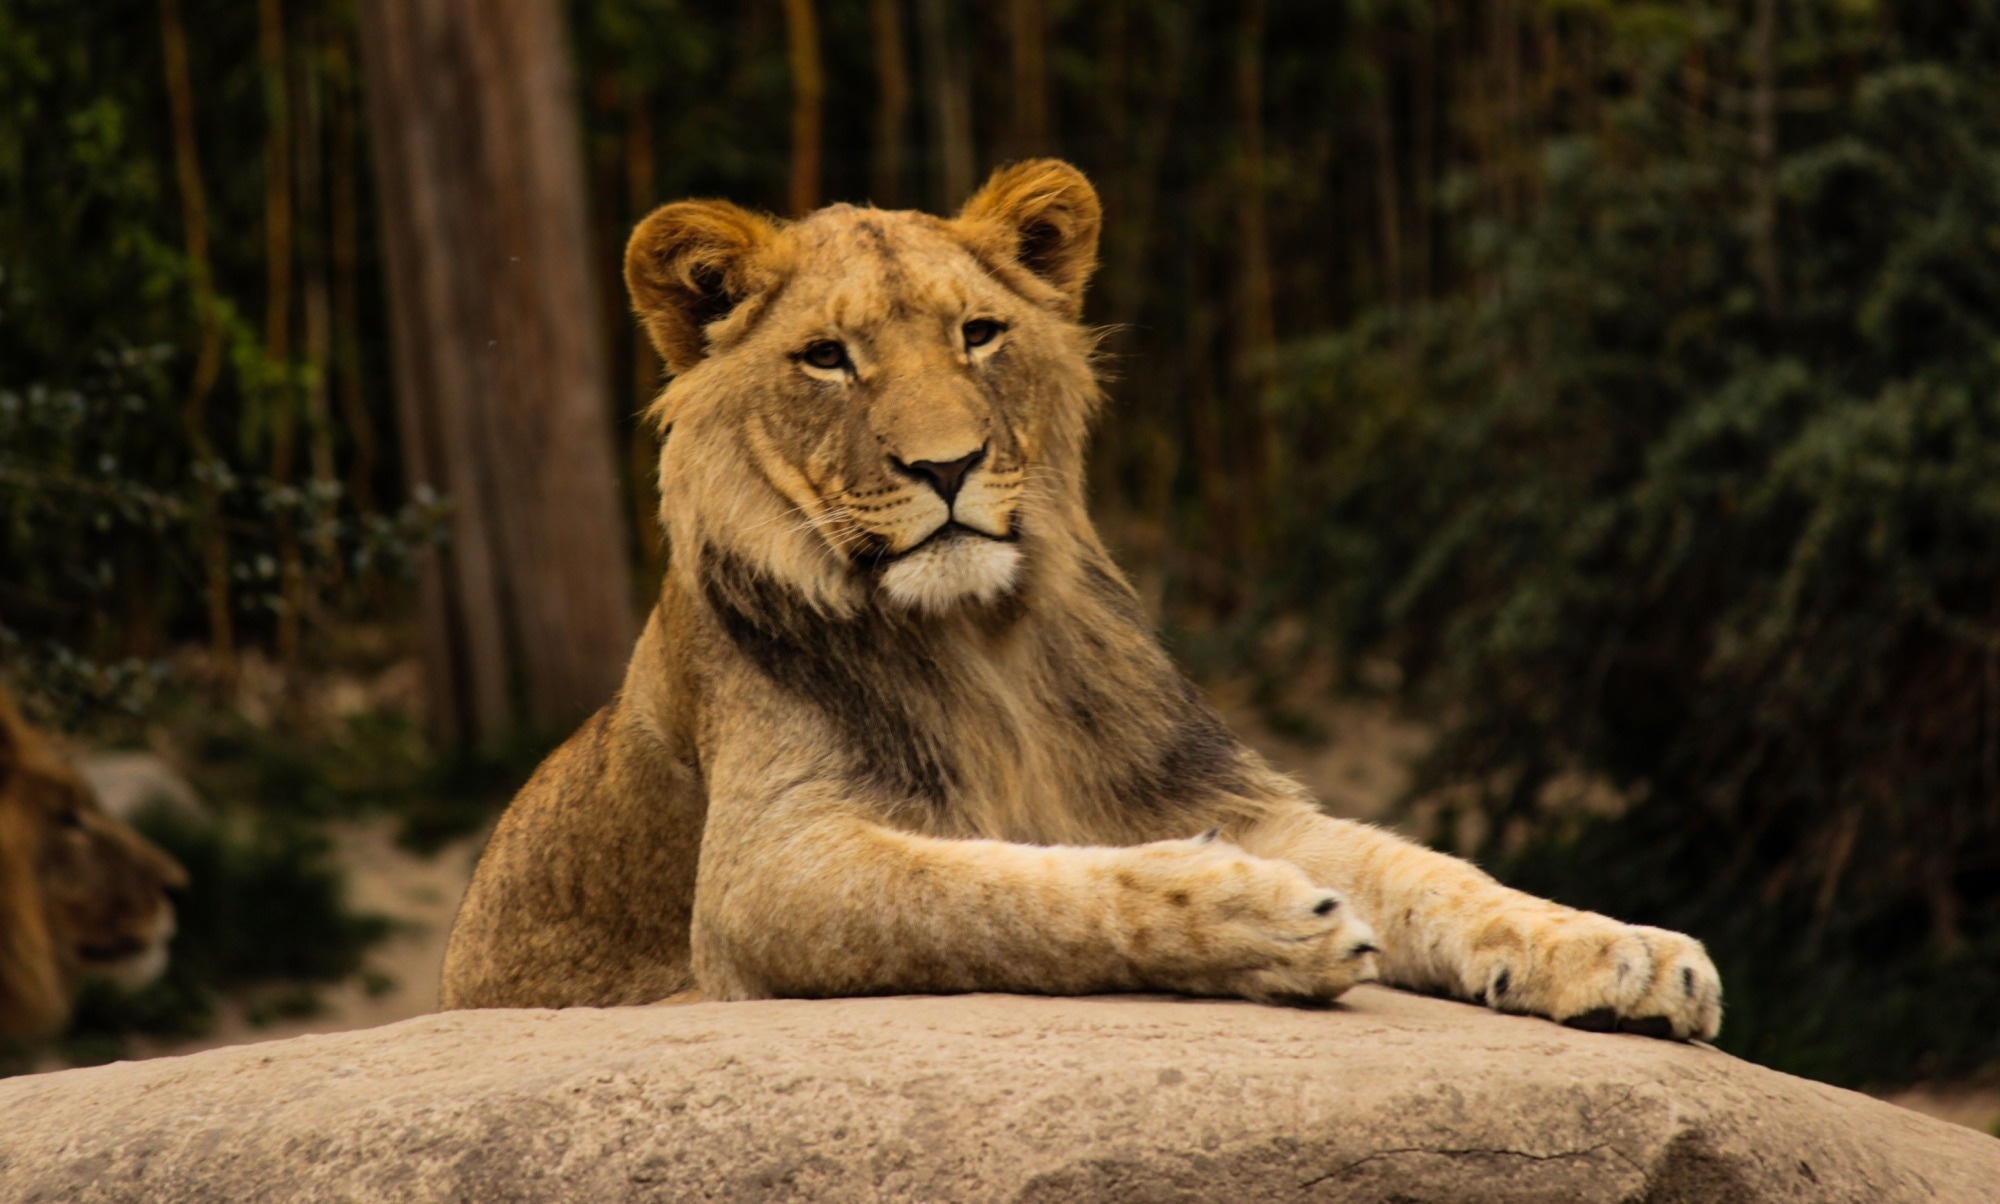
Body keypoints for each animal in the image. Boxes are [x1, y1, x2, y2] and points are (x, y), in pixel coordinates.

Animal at [440, 160, 1722, 1040]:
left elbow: (1431, 871)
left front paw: (1620, 949)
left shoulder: (1224, 793)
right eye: (826, 358)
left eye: (978, 334)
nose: (946, 468)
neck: (979, 639)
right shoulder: (765, 877)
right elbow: (993, 893)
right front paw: (1250, 915)